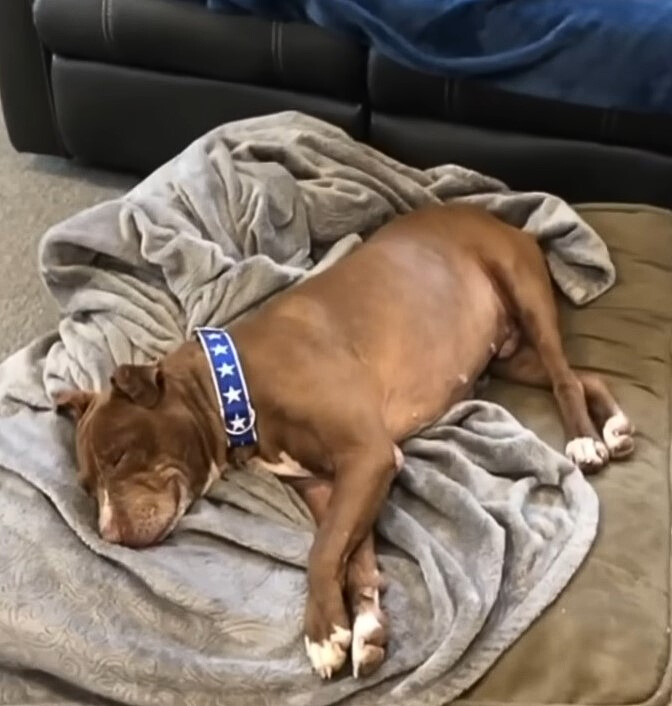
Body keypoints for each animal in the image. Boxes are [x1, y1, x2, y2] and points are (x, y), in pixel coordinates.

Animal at [55, 202, 632, 676]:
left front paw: (323, 634)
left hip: (523, 293)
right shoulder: (327, 485)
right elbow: (353, 557)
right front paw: (365, 627)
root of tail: (502, 218)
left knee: (564, 377)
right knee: (582, 375)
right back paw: (615, 427)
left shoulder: (368, 458)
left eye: (118, 455)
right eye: (85, 485)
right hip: (507, 355)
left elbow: (323, 550)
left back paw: (585, 441)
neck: (229, 385)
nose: (107, 532)